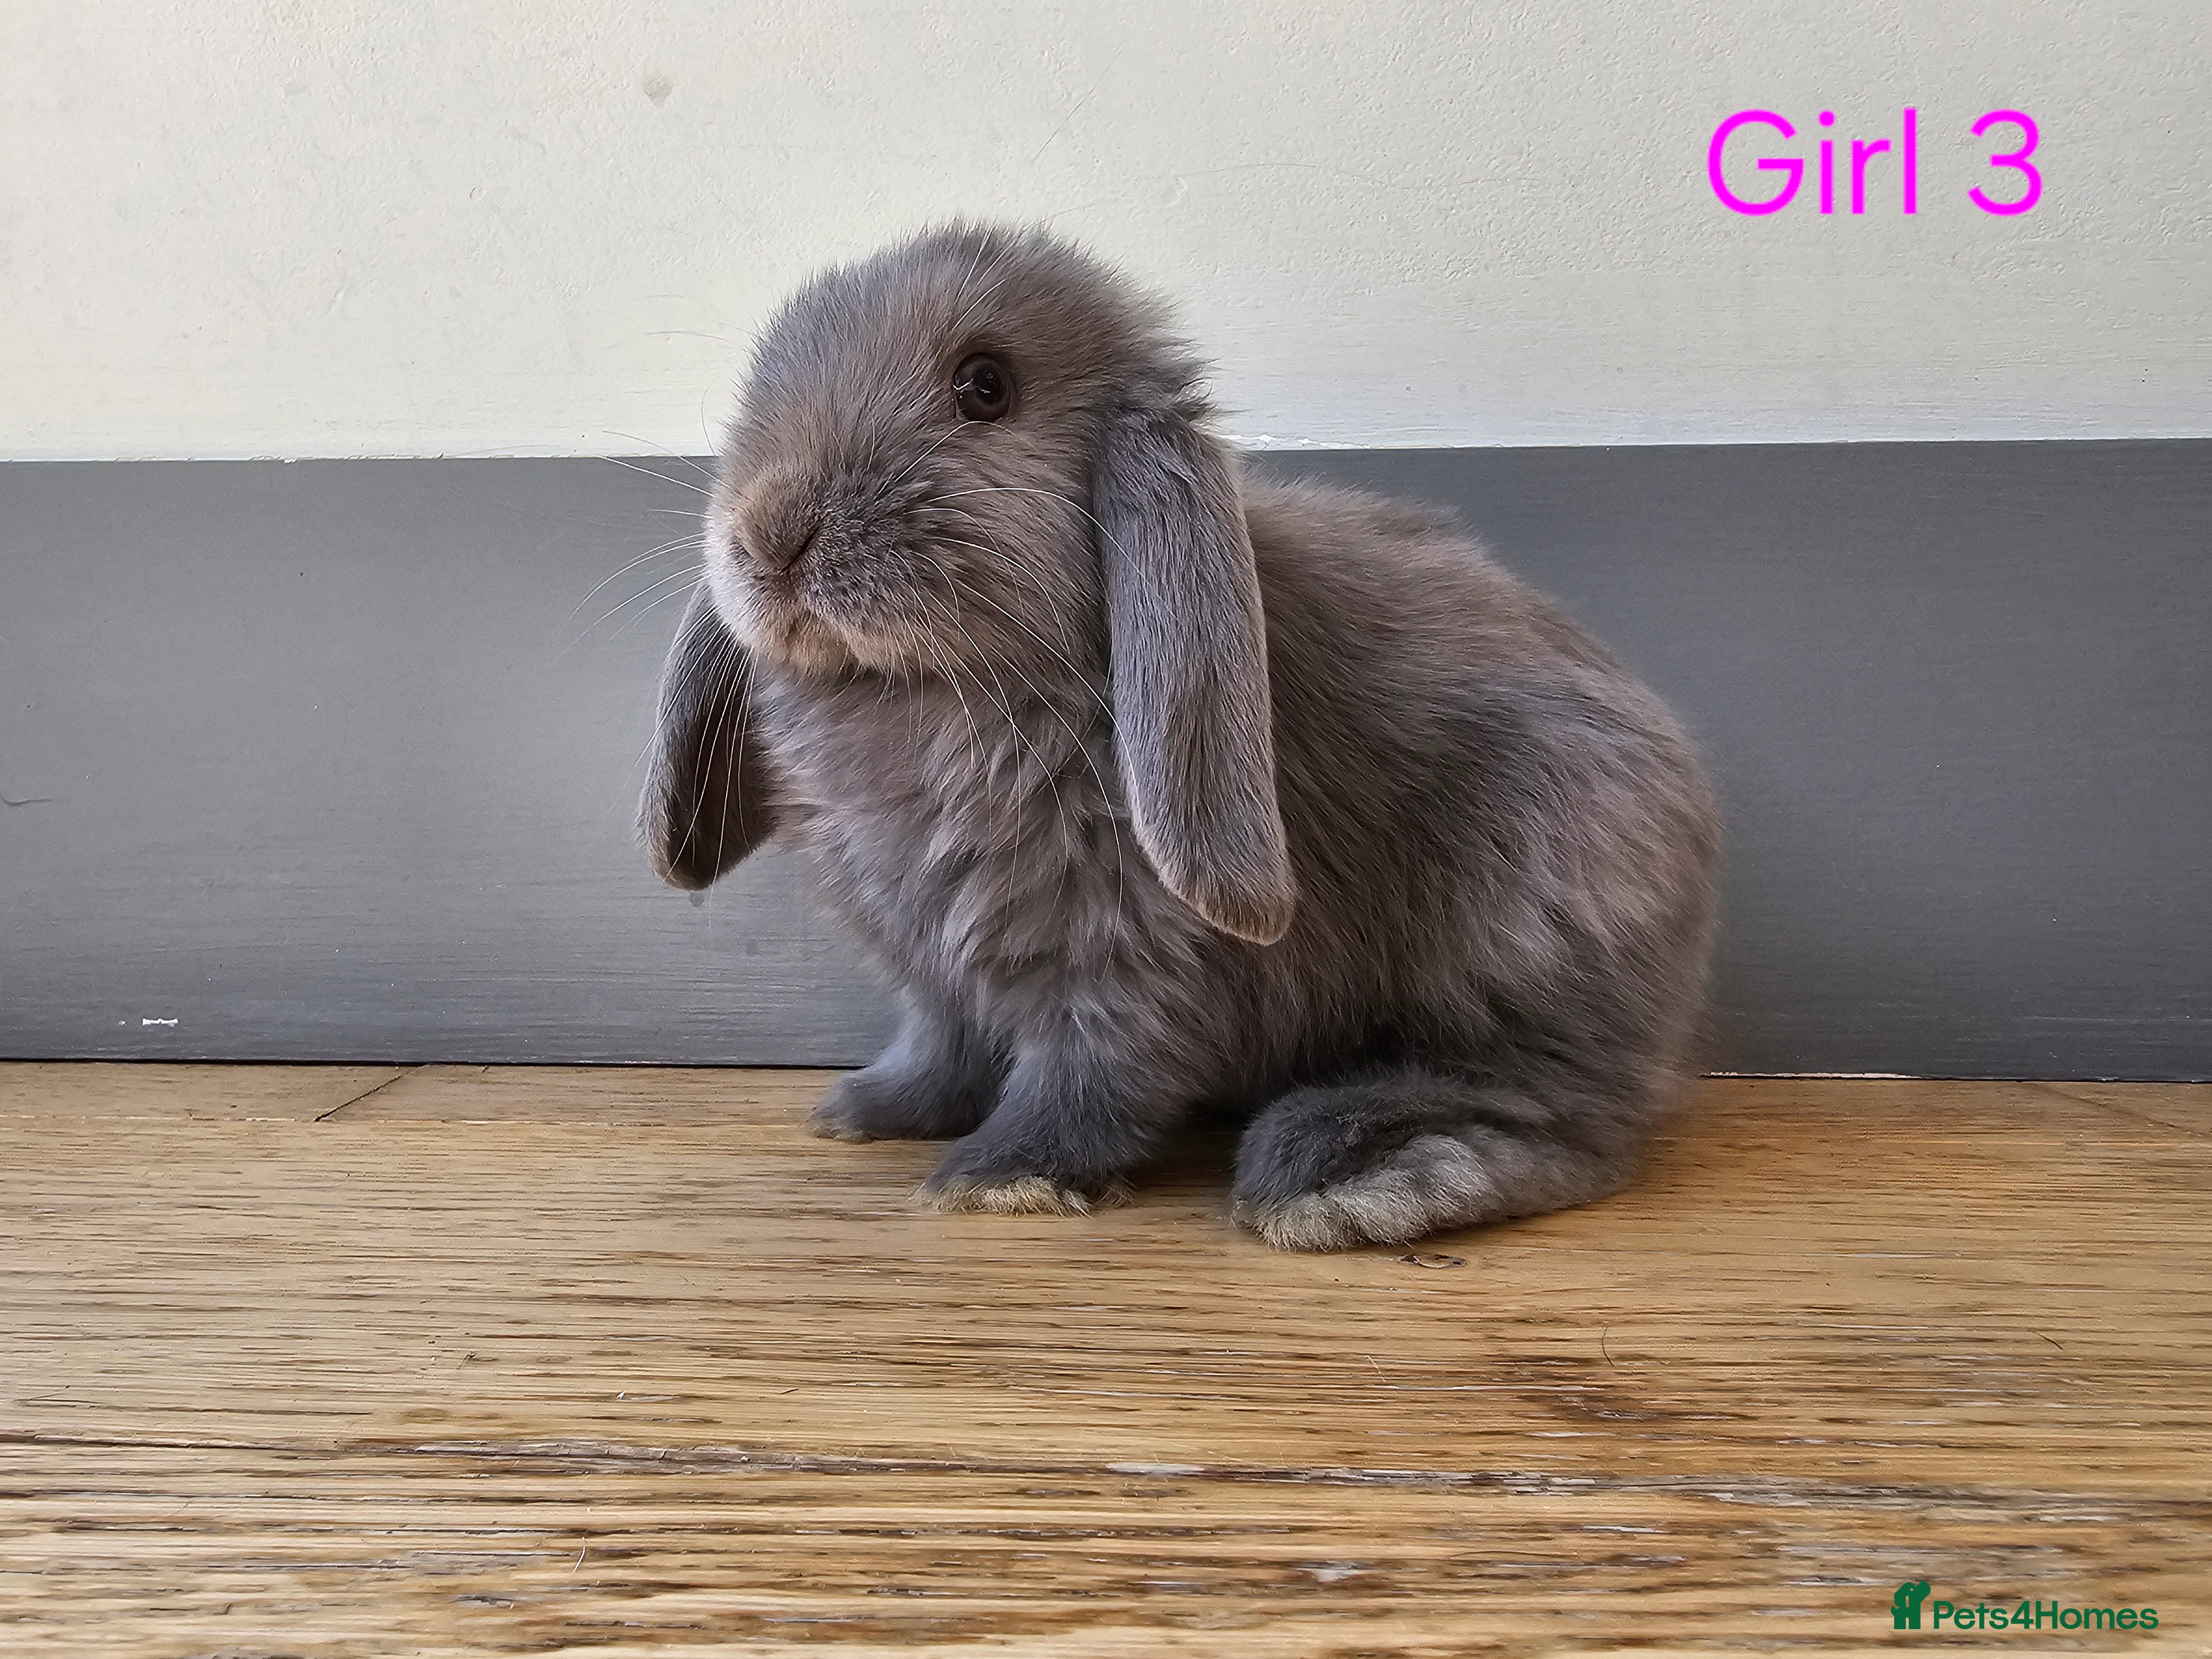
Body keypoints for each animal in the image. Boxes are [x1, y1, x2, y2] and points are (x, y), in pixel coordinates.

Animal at [640, 221, 1719, 1252]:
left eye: (985, 388)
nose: (770, 533)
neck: (921, 693)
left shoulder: (1127, 948)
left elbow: (1095, 1068)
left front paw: (1000, 1178)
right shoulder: (937, 970)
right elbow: (943, 1045)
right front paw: (874, 1107)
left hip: (1528, 925)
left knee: (1569, 1117)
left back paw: (1342, 1181)